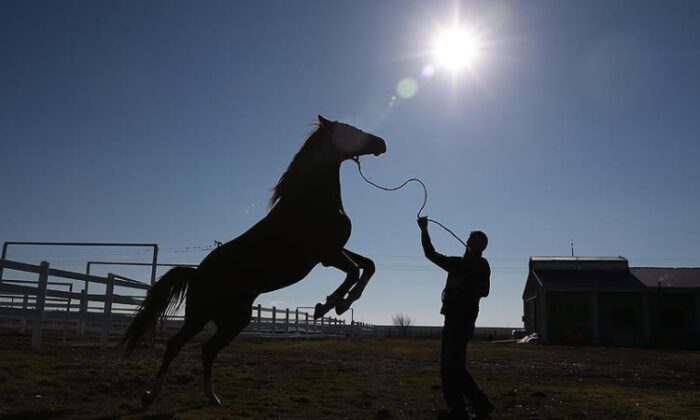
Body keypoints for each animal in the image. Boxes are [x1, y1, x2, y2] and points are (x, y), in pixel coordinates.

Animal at [122, 115, 386, 406]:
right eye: (349, 130)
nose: (381, 143)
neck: (309, 202)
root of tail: (197, 273)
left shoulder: (333, 252)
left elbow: (368, 265)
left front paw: (341, 302)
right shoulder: (327, 254)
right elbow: (353, 272)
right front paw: (330, 305)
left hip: (235, 319)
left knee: (208, 349)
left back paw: (212, 397)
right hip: (199, 315)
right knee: (175, 345)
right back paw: (150, 395)